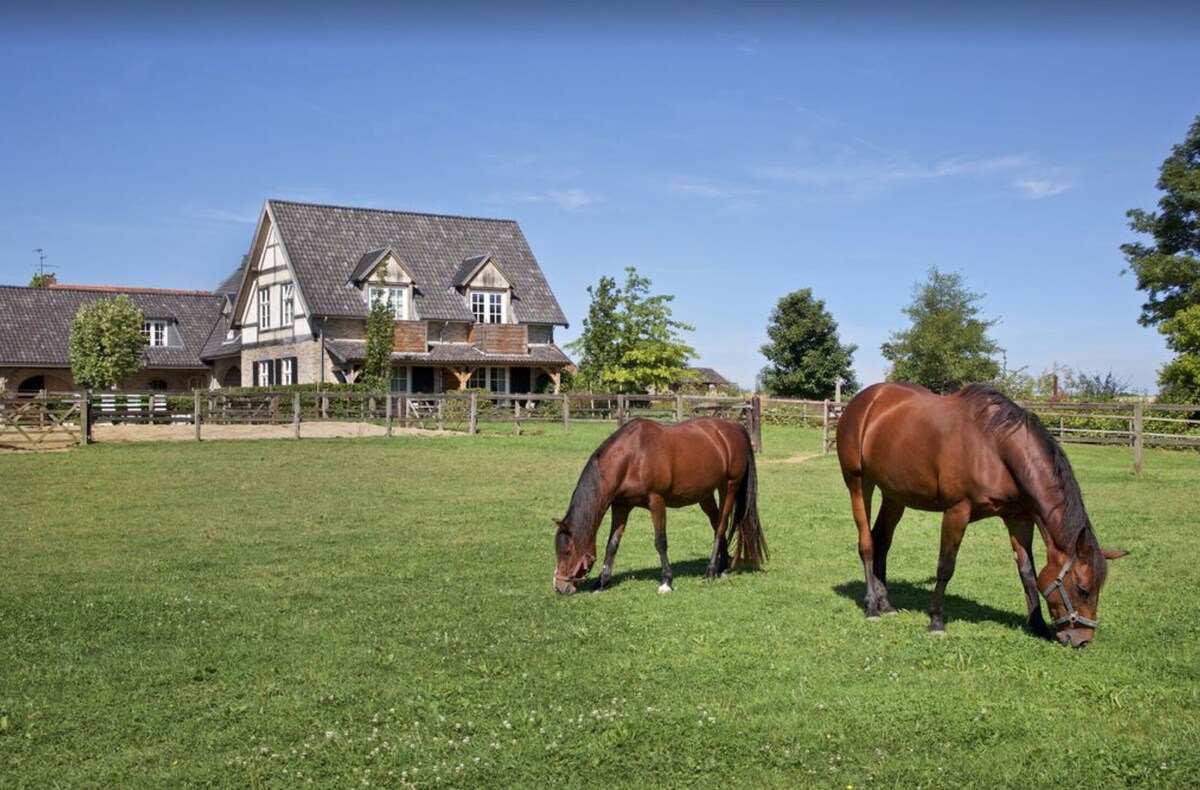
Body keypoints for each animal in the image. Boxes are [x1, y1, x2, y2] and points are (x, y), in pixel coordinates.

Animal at [552, 415, 768, 593]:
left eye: (567, 551)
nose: (560, 587)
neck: (633, 456)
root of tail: (734, 427)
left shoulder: (656, 501)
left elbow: (660, 542)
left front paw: (666, 581)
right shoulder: (621, 506)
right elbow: (612, 544)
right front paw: (601, 582)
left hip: (729, 487)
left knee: (721, 526)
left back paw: (710, 570)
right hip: (705, 495)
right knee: (716, 524)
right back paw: (722, 567)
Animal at [835, 381, 1123, 648]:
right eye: (1082, 589)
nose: (1082, 640)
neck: (994, 447)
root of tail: (864, 400)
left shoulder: (1018, 518)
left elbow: (1027, 572)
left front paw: (1037, 624)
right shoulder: (956, 512)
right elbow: (945, 567)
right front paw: (936, 621)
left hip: (894, 496)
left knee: (882, 541)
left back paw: (886, 604)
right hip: (858, 483)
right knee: (867, 543)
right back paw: (872, 606)